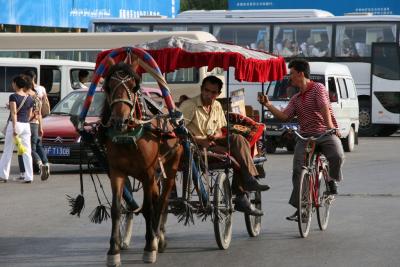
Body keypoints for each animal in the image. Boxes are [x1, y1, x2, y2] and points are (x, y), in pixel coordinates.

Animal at [100, 62, 183, 266]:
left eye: (133, 86)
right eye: (109, 86)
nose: (120, 121)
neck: (129, 137)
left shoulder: (147, 173)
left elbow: (148, 208)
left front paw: (149, 247)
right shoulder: (117, 172)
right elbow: (116, 209)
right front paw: (113, 251)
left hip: (170, 168)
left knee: (162, 201)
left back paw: (158, 237)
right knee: (156, 199)